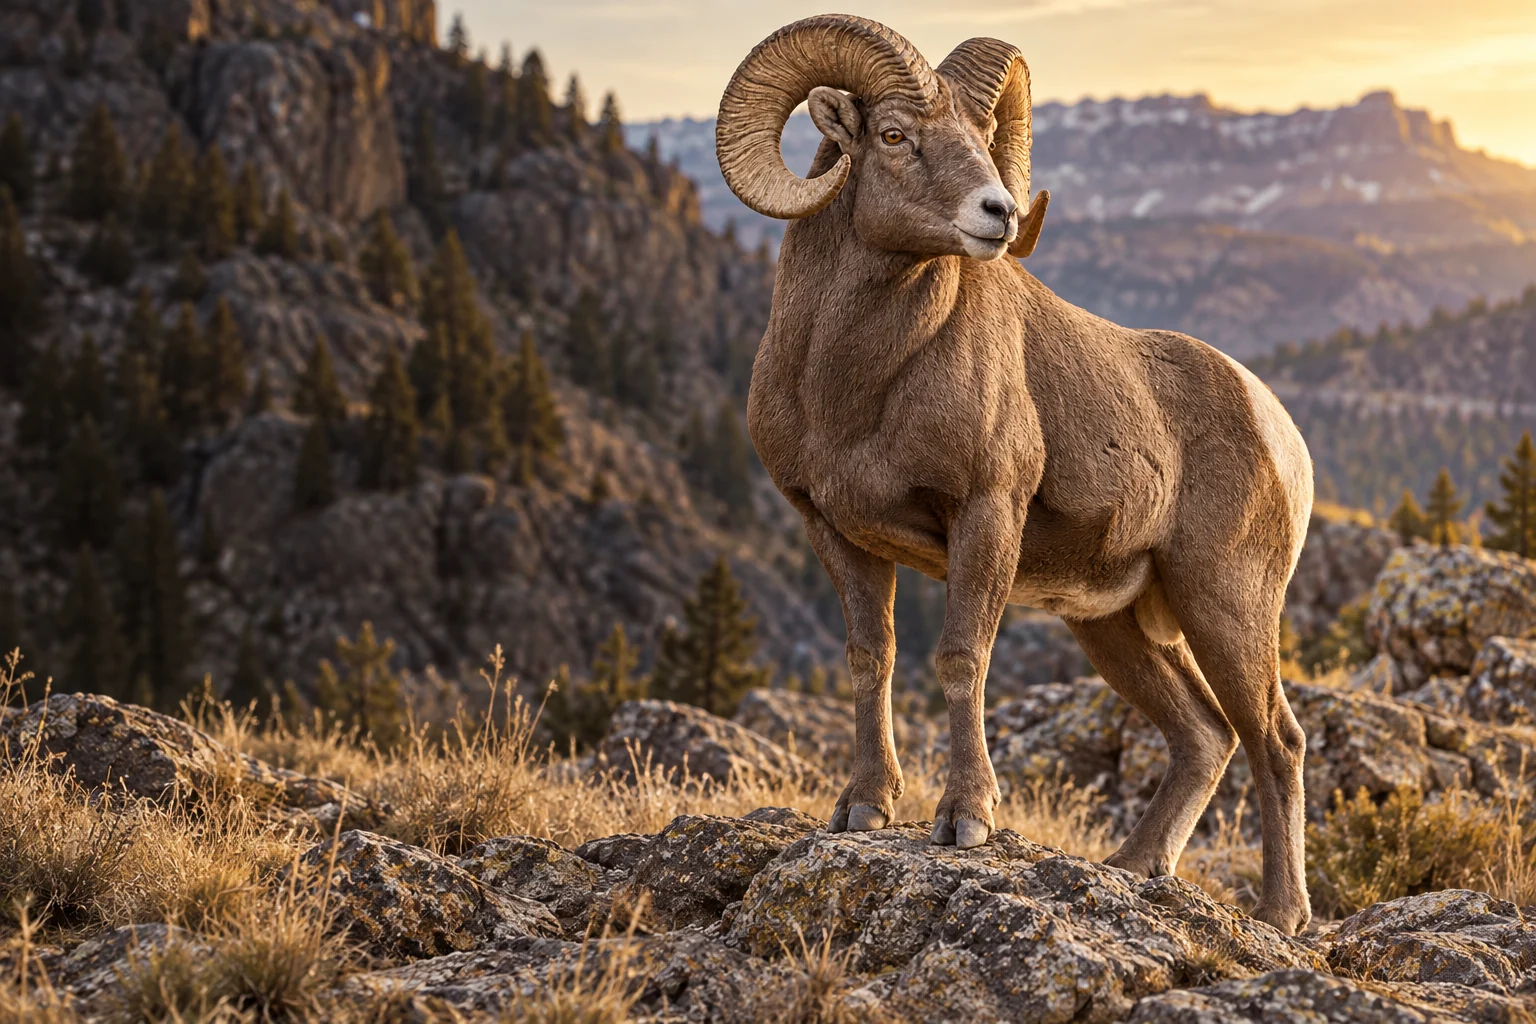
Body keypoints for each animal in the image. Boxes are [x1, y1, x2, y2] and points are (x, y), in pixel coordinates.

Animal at [716, 15, 1314, 935]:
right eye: (895, 136)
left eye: (980, 136)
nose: (996, 213)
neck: (850, 384)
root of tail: (1279, 431)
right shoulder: (834, 531)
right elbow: (872, 658)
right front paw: (864, 808)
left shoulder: (985, 514)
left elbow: (962, 658)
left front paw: (964, 821)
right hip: (1114, 624)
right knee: (1204, 736)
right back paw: (1132, 869)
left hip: (1226, 602)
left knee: (1274, 739)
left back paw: (1281, 917)